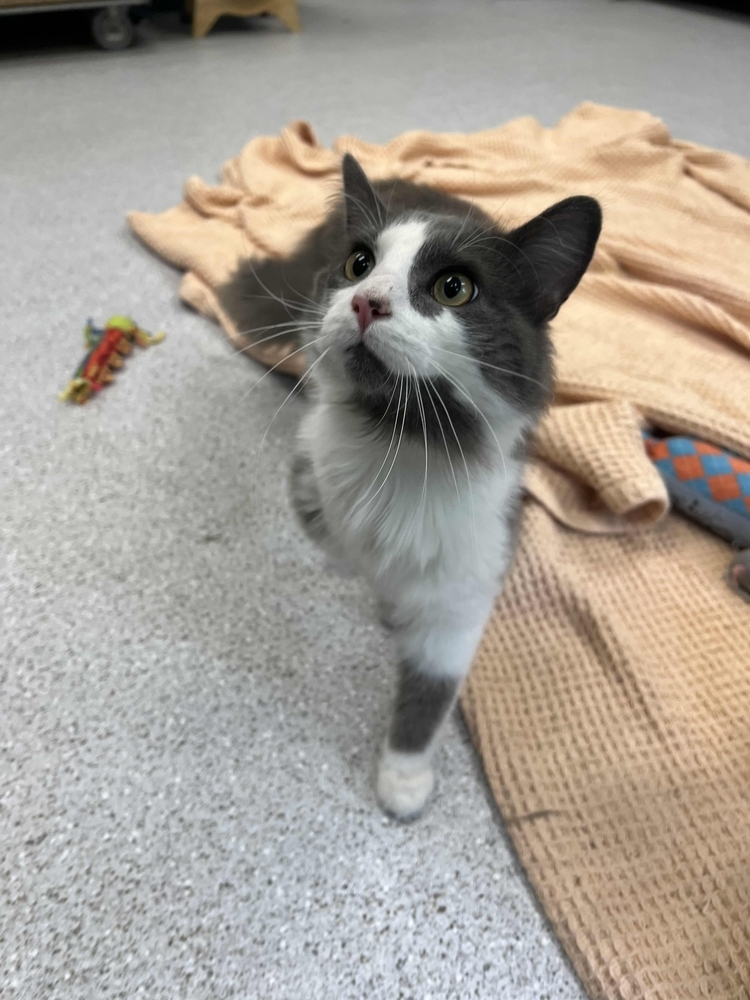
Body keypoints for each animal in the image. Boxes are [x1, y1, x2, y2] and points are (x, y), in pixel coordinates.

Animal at [220, 154, 604, 820]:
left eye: (454, 288)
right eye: (360, 265)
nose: (366, 303)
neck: (400, 442)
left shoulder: (467, 578)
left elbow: (429, 691)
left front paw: (402, 779)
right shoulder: (309, 469)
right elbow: (333, 536)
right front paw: (373, 584)